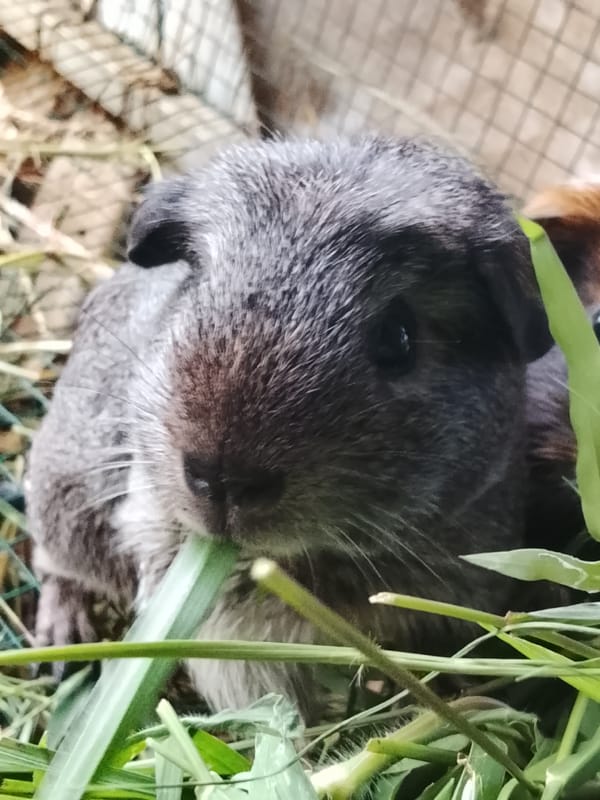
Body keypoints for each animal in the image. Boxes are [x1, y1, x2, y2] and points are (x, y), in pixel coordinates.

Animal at [25, 135, 554, 718]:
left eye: (399, 336)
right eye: (198, 286)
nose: (220, 477)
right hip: (65, 501)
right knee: (53, 564)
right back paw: (59, 646)